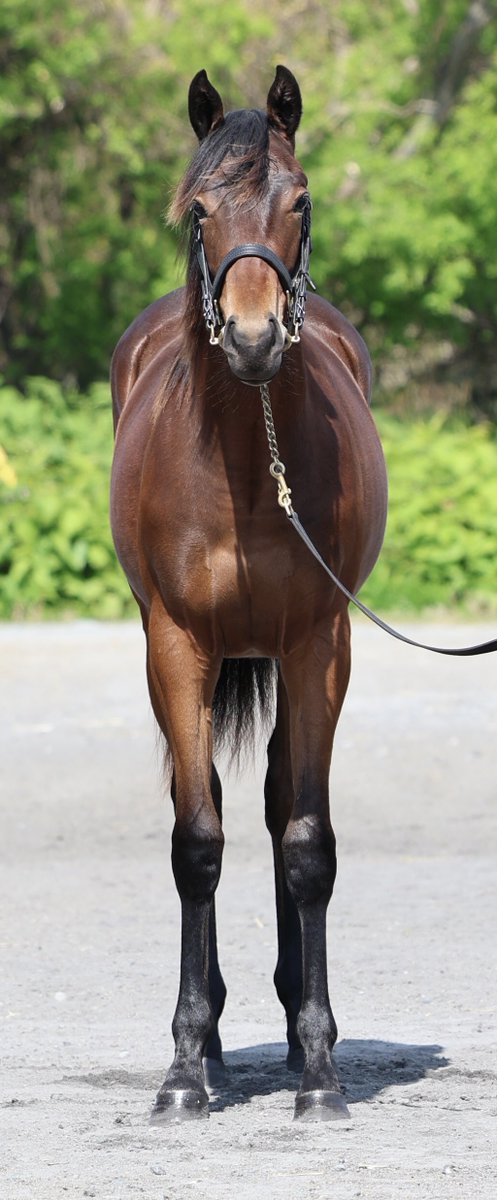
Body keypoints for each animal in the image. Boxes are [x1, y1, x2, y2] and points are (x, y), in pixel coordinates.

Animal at [110, 65, 388, 1122]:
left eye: (299, 200)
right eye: (199, 210)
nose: (257, 337)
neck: (241, 455)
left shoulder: (317, 645)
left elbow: (306, 842)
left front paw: (318, 1073)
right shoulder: (176, 647)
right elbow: (197, 840)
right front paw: (185, 1069)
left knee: (274, 807)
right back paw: (221, 1043)